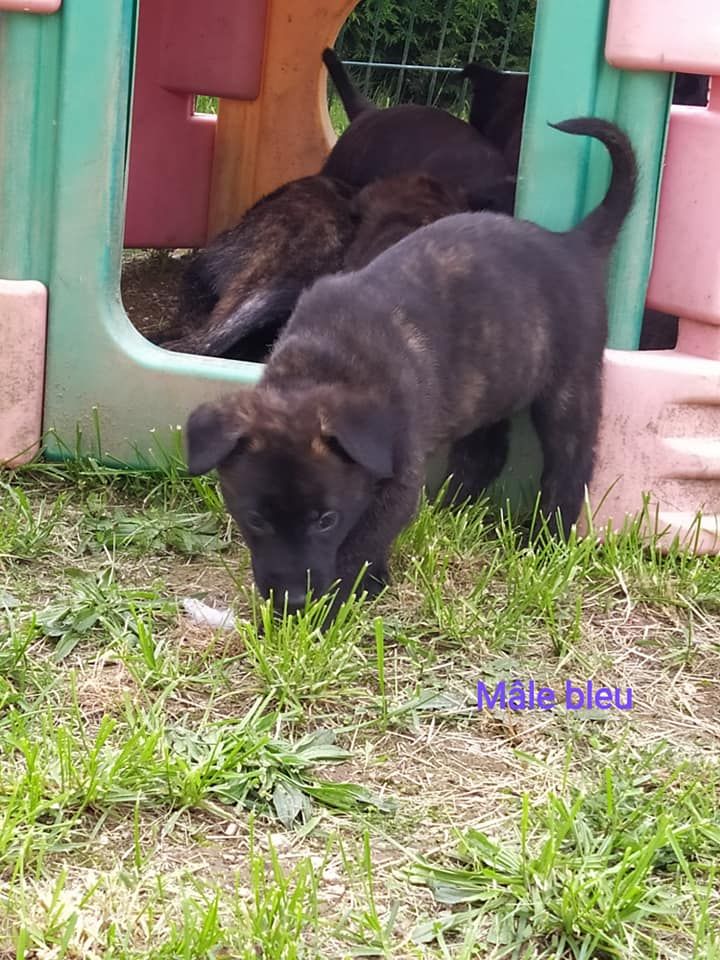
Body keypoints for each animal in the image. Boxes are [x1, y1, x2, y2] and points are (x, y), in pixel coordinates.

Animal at [184, 117, 637, 617]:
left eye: (326, 520)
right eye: (255, 519)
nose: (293, 602)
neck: (326, 363)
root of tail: (572, 243)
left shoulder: (398, 480)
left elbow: (359, 544)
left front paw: (336, 607)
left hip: (569, 388)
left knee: (570, 464)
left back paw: (543, 542)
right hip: (489, 386)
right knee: (484, 453)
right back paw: (452, 509)